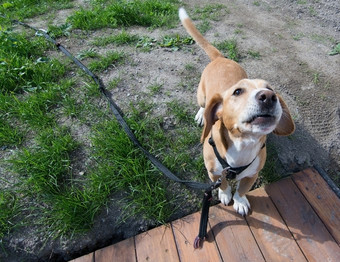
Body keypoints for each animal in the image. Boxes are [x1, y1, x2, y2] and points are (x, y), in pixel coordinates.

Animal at [179, 8, 294, 217]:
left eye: (270, 88)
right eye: (238, 92)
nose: (268, 96)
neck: (243, 144)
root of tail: (220, 58)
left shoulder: (252, 174)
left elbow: (241, 189)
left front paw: (239, 202)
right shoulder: (214, 172)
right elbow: (224, 183)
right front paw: (225, 194)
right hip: (201, 96)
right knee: (203, 104)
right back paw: (201, 114)